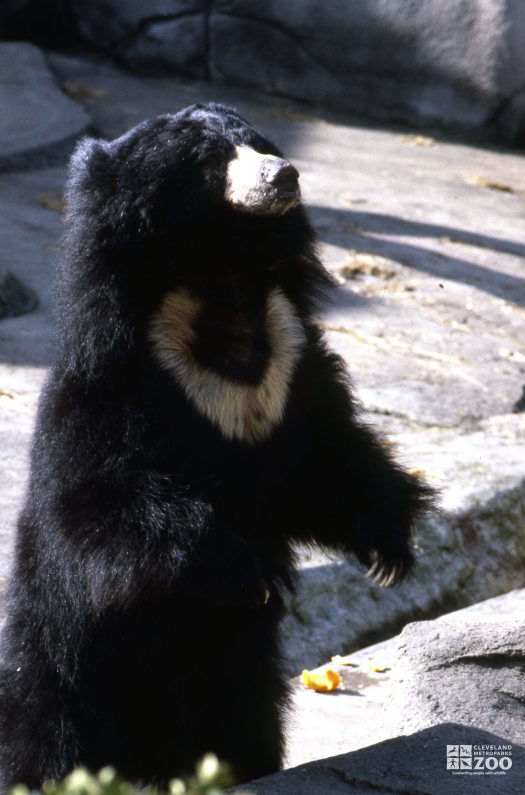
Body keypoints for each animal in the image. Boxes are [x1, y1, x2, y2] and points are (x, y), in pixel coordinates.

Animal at [0, 104, 430, 788]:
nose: (285, 174)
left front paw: (390, 551)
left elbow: (326, 461)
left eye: (254, 143)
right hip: (65, 652)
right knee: (44, 727)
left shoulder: (292, 365)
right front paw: (242, 569)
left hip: (235, 671)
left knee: (241, 723)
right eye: (208, 161)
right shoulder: (115, 381)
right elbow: (102, 499)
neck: (222, 280)